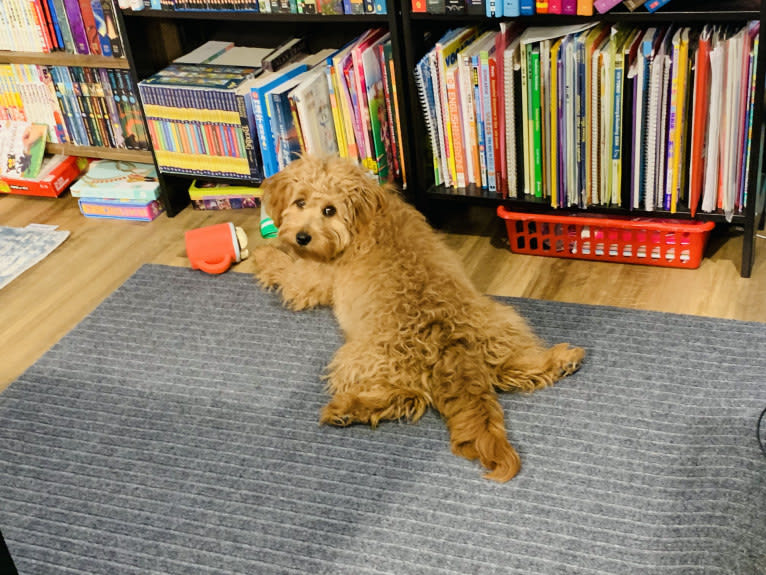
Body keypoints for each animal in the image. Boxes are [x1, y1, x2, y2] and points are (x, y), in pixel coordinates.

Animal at [255, 156, 584, 482]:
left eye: (329, 210)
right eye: (299, 202)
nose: (302, 237)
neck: (366, 216)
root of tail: (448, 348)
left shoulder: (308, 280)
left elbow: (283, 266)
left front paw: (264, 252)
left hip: (354, 359)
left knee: (408, 398)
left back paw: (350, 409)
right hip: (505, 323)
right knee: (510, 369)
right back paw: (558, 361)